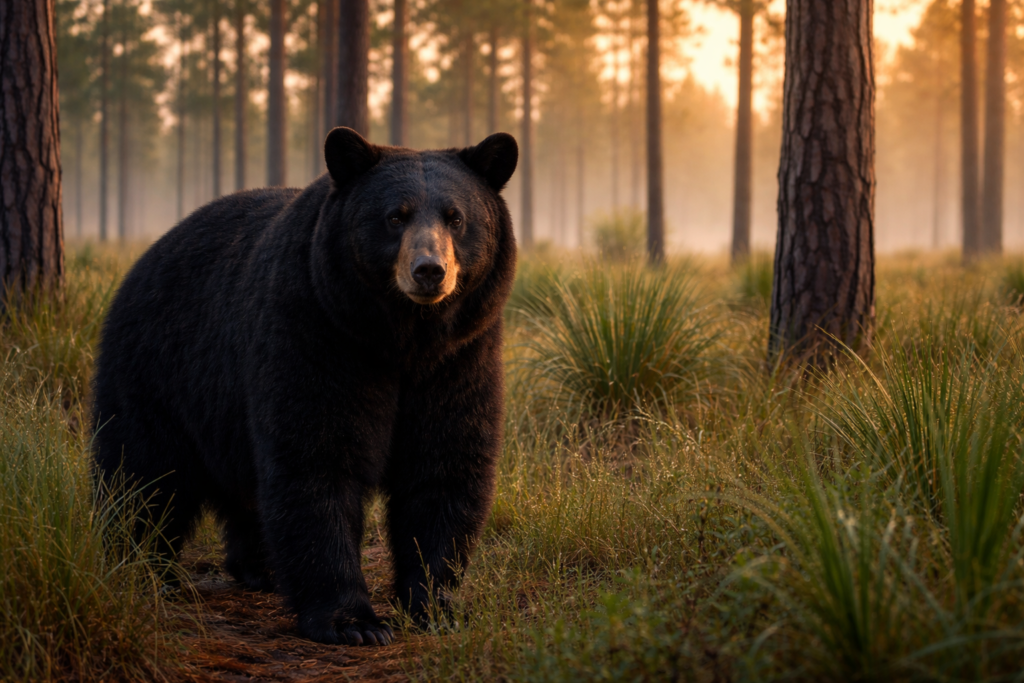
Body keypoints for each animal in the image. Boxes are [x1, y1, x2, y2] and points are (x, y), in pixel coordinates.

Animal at [91, 127, 519, 646]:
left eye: (456, 217)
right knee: (142, 473)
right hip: (159, 369)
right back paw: (144, 567)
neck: (401, 339)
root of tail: (146, 256)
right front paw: (353, 622)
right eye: (395, 216)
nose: (429, 270)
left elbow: (443, 465)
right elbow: (316, 457)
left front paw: (434, 605)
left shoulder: (460, 359)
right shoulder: (316, 332)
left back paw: (260, 569)